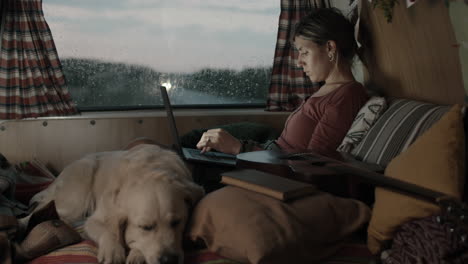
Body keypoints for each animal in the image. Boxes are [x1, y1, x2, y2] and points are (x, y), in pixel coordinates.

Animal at [28, 144, 204, 264]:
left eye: (177, 222)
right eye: (145, 227)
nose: (169, 260)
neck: (149, 171)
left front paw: (137, 254)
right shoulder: (96, 218)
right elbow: (109, 231)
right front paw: (113, 251)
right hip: (77, 195)